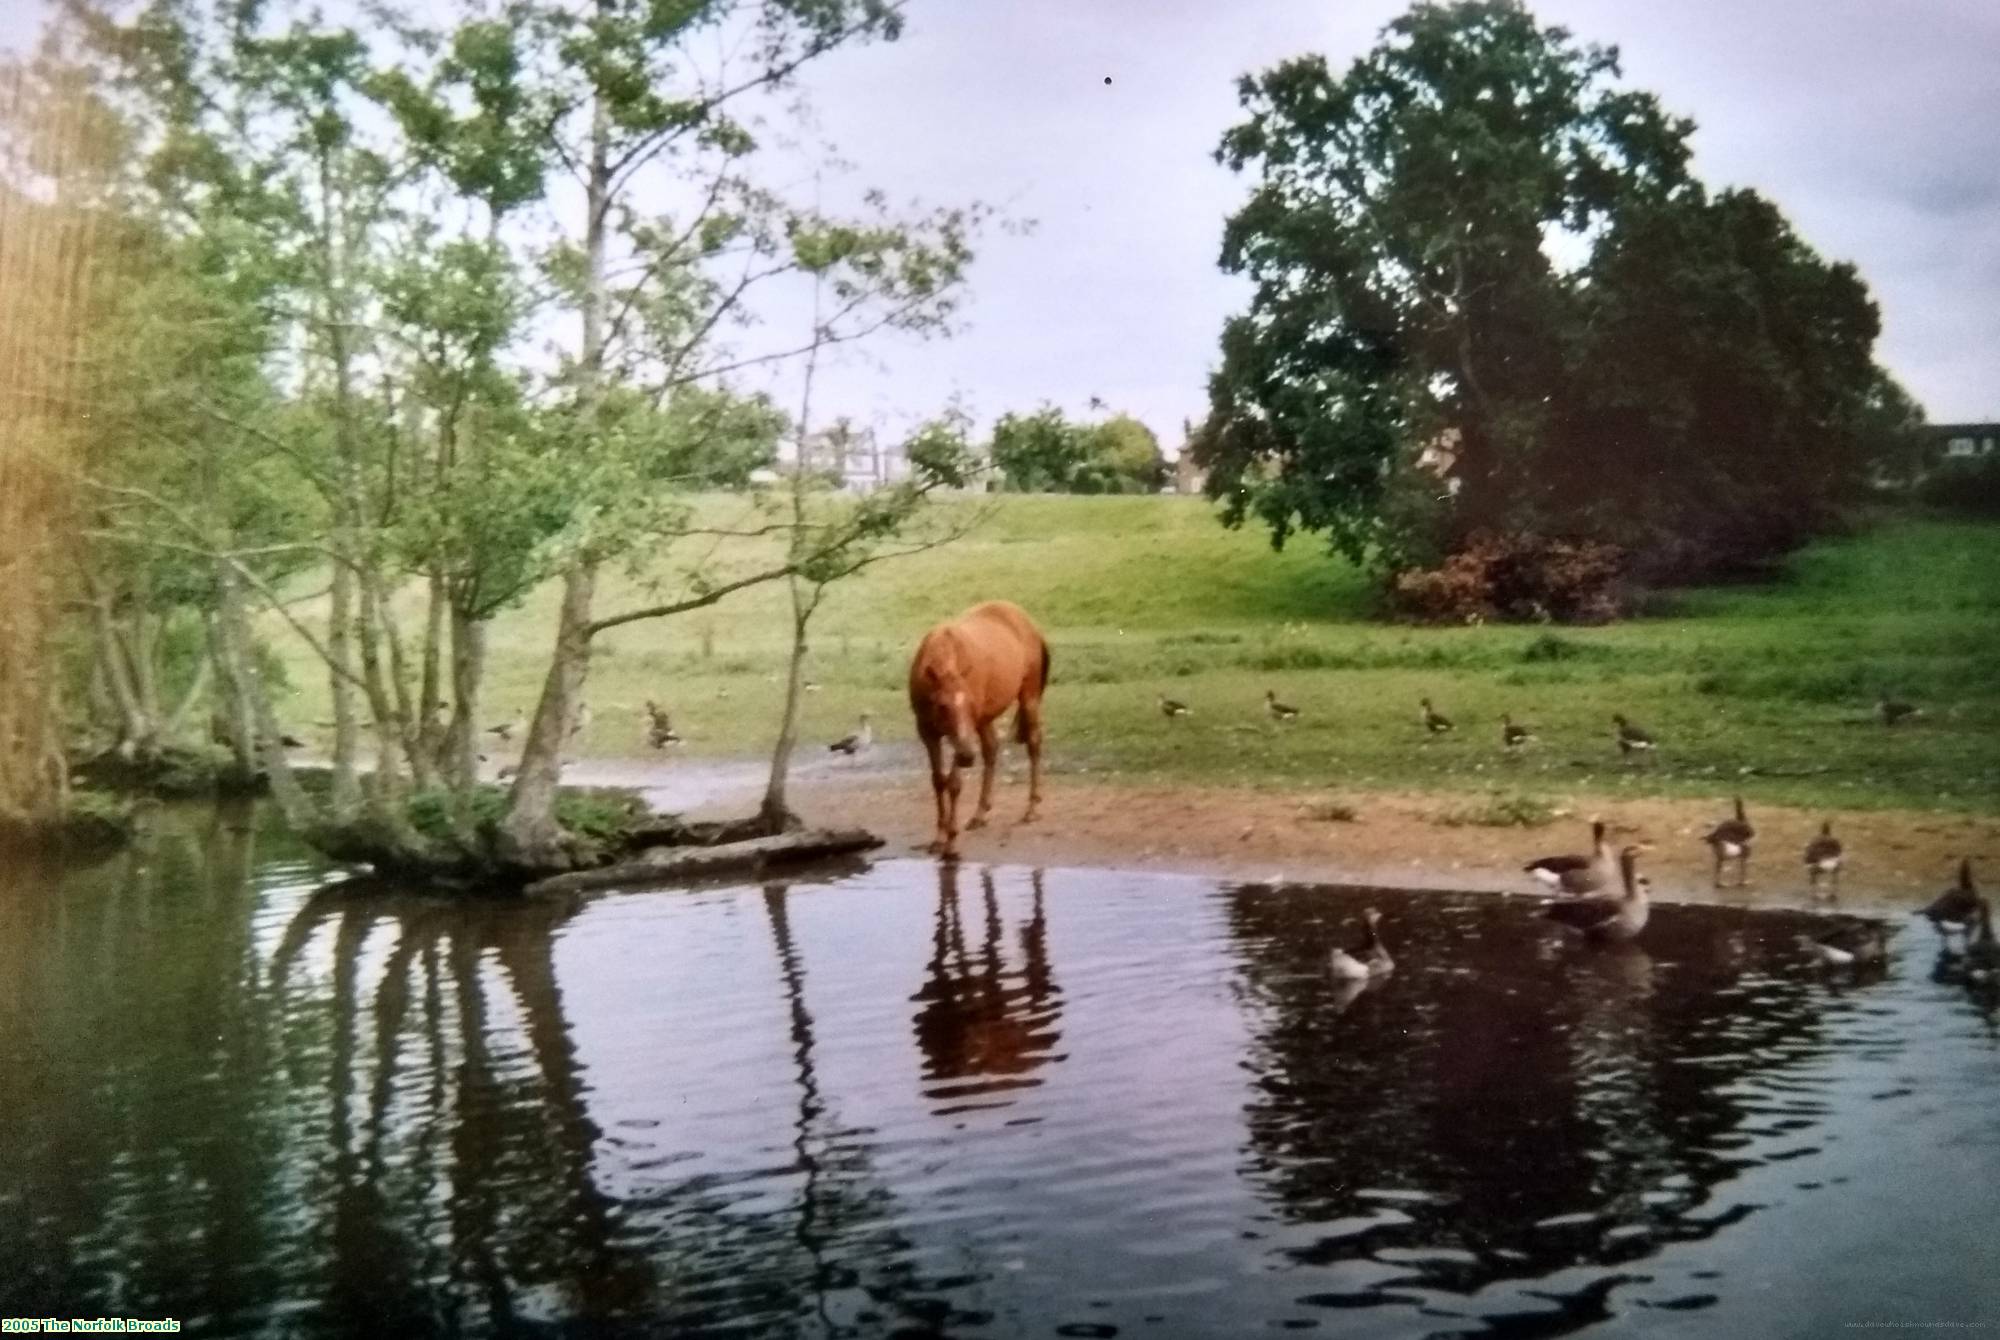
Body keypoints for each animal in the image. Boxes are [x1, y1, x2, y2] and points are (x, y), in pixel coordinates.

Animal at [912, 600, 1056, 860]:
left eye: (970, 703)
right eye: (943, 706)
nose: (968, 757)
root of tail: (1028, 623)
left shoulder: (965, 733)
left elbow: (954, 783)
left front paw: (951, 841)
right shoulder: (928, 734)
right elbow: (938, 781)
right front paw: (939, 838)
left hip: (1028, 697)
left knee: (1033, 743)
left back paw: (1031, 808)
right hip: (985, 721)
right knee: (991, 750)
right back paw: (980, 814)